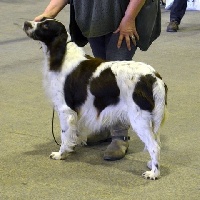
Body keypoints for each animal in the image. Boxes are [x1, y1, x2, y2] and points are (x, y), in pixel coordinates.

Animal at [23, 17, 167, 180]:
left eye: (46, 26)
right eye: (41, 20)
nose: (26, 24)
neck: (63, 54)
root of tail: (153, 77)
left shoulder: (65, 110)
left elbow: (64, 134)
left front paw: (61, 154)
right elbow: (73, 132)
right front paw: (72, 147)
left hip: (140, 118)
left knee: (154, 146)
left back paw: (154, 173)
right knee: (156, 141)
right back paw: (151, 164)